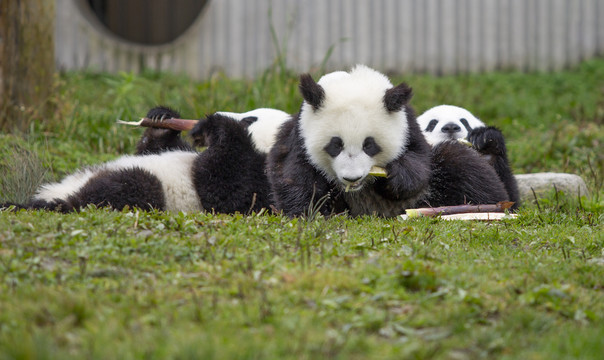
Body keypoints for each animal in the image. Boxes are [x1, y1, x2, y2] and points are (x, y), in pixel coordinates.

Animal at [2, 107, 288, 214]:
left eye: (250, 119)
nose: (221, 112)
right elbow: (156, 148)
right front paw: (161, 120)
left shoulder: (260, 180)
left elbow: (225, 190)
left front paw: (214, 126)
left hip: (144, 190)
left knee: (122, 188)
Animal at [268, 65, 516, 218]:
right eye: (335, 145)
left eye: (369, 145)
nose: (352, 178)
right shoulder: (299, 132)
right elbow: (294, 173)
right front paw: (312, 212)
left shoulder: (407, 125)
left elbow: (419, 161)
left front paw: (397, 177)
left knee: (464, 168)